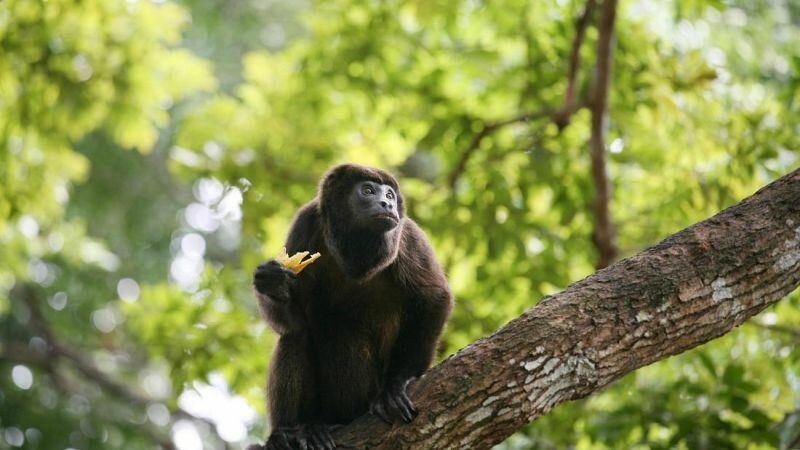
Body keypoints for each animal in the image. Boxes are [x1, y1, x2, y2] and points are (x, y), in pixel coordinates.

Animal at [252, 165, 450, 450]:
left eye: (389, 194)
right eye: (367, 190)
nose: (387, 203)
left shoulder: (408, 237)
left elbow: (434, 297)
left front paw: (398, 383)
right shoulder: (304, 224)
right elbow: (295, 321)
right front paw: (272, 282)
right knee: (294, 338)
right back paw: (293, 432)